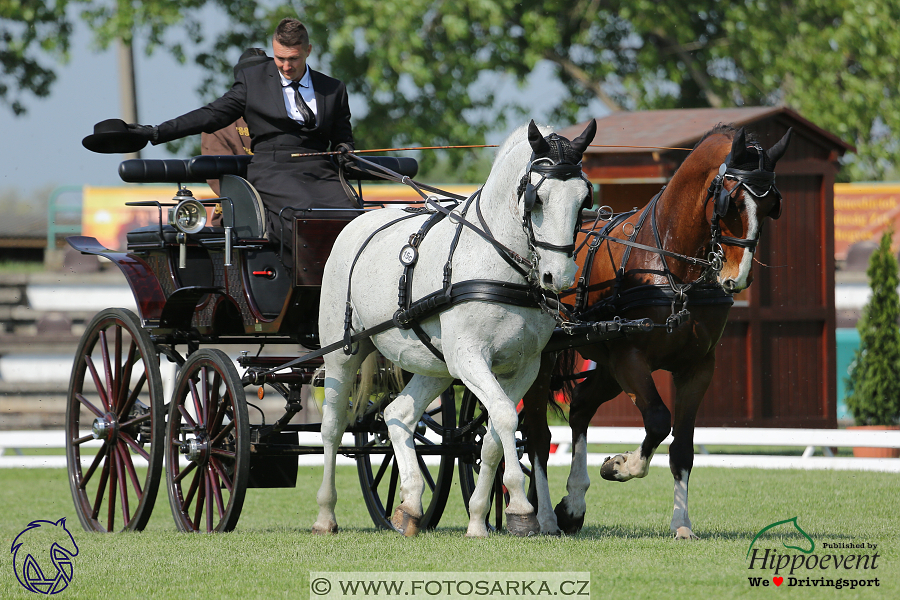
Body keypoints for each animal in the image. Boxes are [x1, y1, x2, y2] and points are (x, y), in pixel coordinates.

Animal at [312, 119, 596, 536]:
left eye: (583, 200)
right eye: (537, 199)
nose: (557, 276)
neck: (497, 261)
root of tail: (358, 221)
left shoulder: (524, 367)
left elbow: (494, 433)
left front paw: (479, 518)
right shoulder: (469, 358)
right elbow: (505, 417)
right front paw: (521, 508)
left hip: (436, 366)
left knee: (398, 414)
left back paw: (410, 505)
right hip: (343, 353)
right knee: (332, 428)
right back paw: (325, 514)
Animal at [520, 124, 796, 536]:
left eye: (771, 205)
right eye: (730, 204)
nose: (738, 277)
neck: (670, 263)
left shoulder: (697, 367)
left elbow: (682, 447)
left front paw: (681, 524)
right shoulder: (631, 358)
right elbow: (657, 420)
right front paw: (621, 465)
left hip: (607, 361)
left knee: (581, 407)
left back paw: (572, 505)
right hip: (550, 359)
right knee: (537, 431)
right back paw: (541, 516)